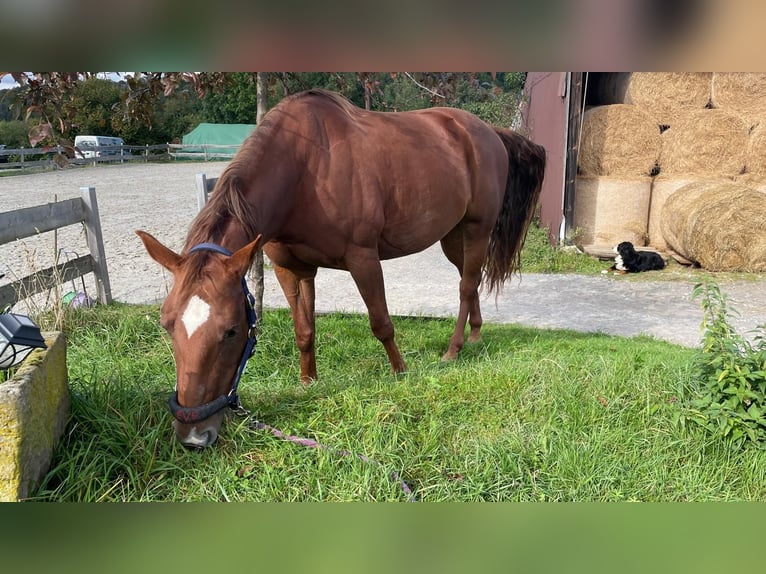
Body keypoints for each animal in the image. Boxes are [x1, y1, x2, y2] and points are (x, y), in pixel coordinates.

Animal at [136, 89, 546, 448]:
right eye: (166, 324)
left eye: (232, 331)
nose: (193, 436)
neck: (305, 171)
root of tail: (487, 132)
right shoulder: (292, 269)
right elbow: (304, 330)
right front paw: (308, 382)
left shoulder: (362, 258)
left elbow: (381, 323)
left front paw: (401, 373)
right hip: (452, 235)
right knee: (469, 279)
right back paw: (475, 335)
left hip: (478, 228)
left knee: (465, 286)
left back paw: (454, 349)